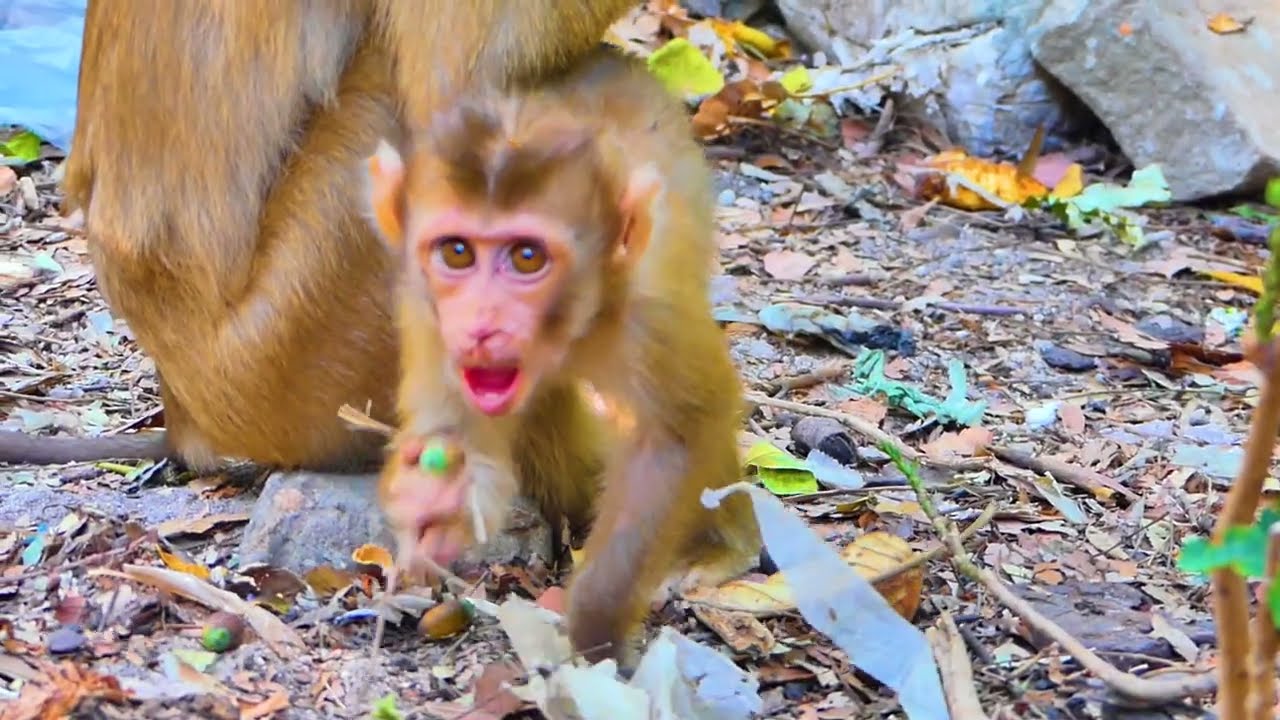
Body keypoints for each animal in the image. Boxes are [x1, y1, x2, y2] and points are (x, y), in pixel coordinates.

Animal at [366, 46, 762, 665]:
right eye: (456, 252)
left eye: (527, 257)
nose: (482, 325)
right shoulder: (424, 310)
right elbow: (456, 432)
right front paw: (436, 499)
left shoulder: (652, 312)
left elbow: (675, 436)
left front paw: (597, 631)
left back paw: (726, 545)